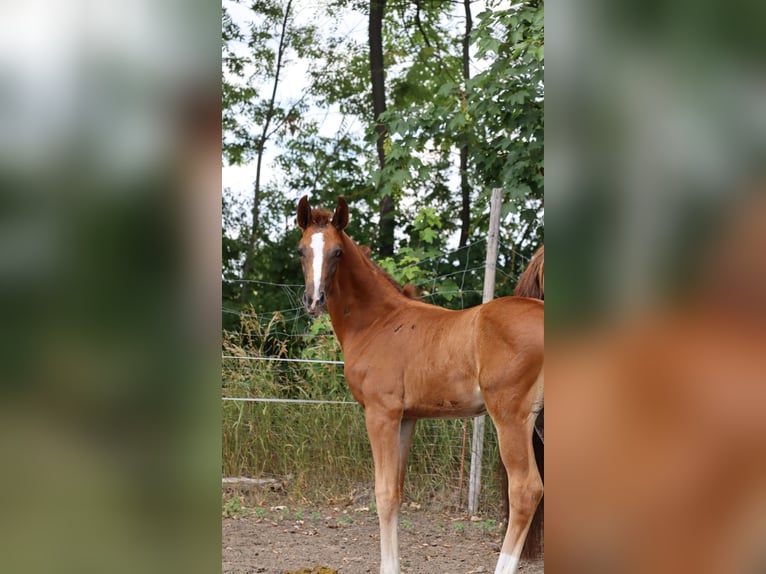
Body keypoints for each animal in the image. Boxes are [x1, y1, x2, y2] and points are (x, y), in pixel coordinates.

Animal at [296, 195, 544, 574]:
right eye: (301, 250)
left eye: (338, 252)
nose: (315, 300)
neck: (379, 323)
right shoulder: (407, 418)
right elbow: (397, 493)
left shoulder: (381, 414)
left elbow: (384, 495)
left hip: (512, 417)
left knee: (525, 490)